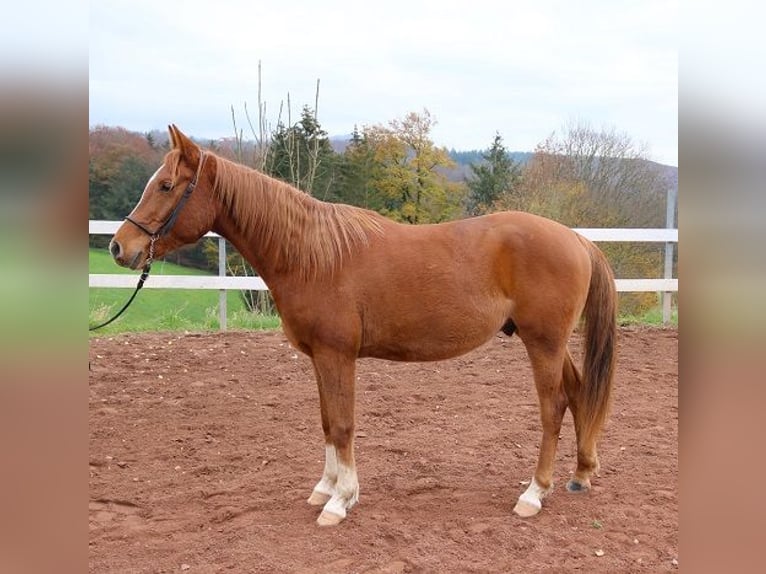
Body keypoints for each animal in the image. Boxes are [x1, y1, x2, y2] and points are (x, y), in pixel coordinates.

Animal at [109, 125, 616, 528]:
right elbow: (326, 421)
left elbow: (343, 423)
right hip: (550, 344)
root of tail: (576, 239)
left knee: (553, 408)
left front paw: (341, 501)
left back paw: (534, 493)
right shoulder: (319, 357)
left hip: (543, 343)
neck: (311, 255)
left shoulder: (338, 355)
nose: (119, 247)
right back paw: (580, 474)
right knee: (577, 394)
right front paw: (325, 486)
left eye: (167, 185)